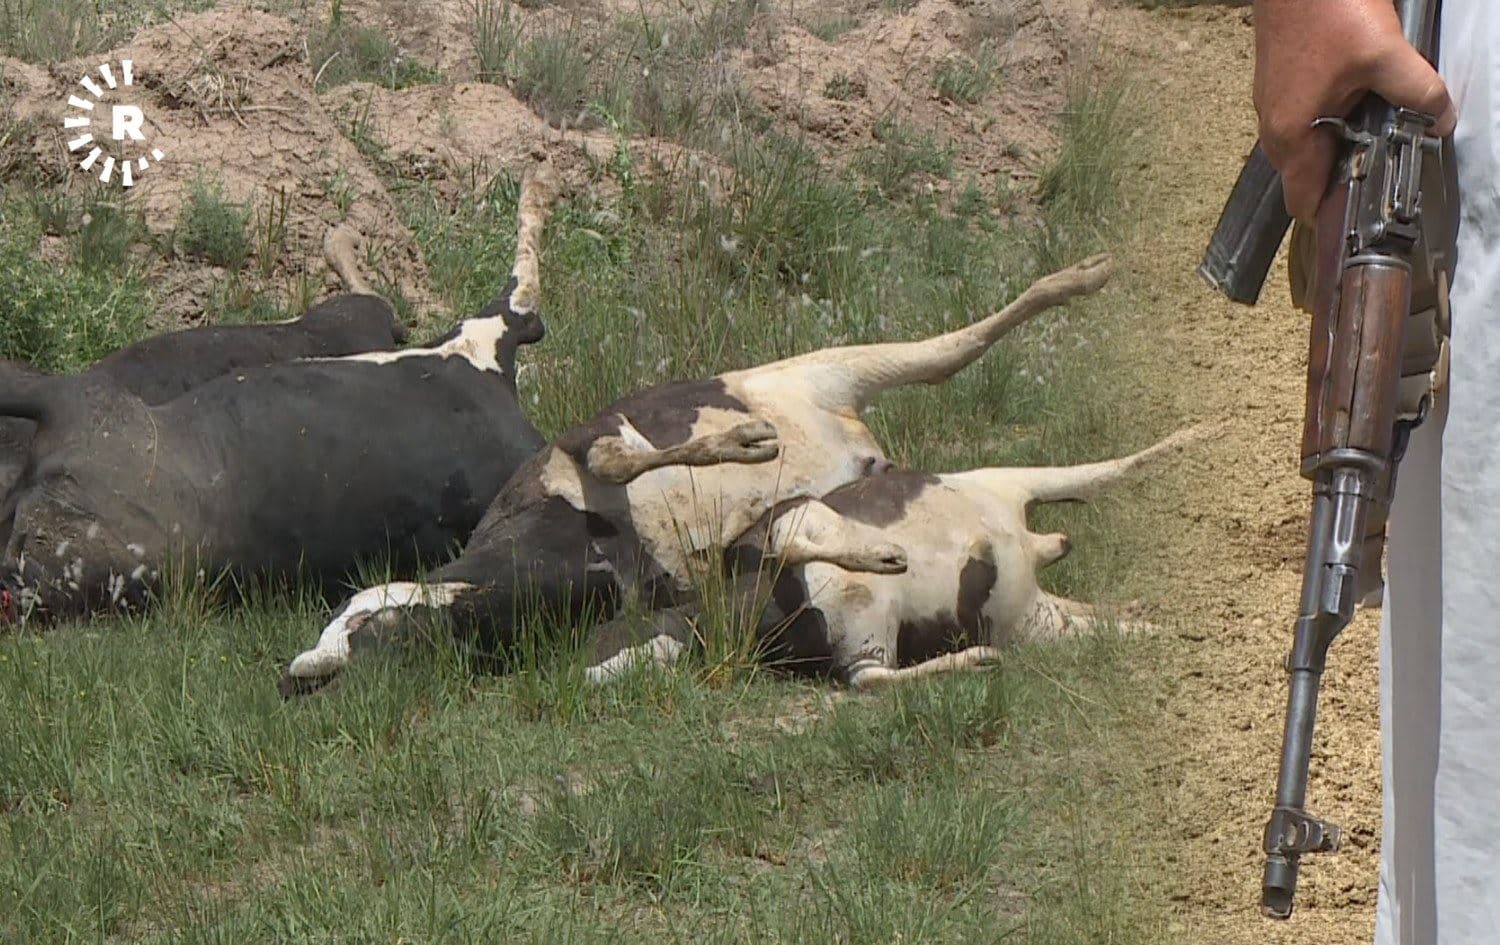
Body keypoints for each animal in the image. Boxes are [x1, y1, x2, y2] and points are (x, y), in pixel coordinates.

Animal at [280, 253, 1114, 694]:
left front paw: (746, 443)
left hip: (835, 365)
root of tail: (857, 433)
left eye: (362, 630)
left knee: (957, 345)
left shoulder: (581, 446)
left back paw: (1080, 277)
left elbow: (621, 451)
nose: (305, 674)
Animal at [580, 427, 1201, 688]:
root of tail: (717, 618)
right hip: (816, 545)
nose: (1063, 544)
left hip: (863, 628)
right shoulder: (1012, 489)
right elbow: (1110, 470)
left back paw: (972, 654)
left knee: (871, 675)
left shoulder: (1037, 613)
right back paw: (884, 559)